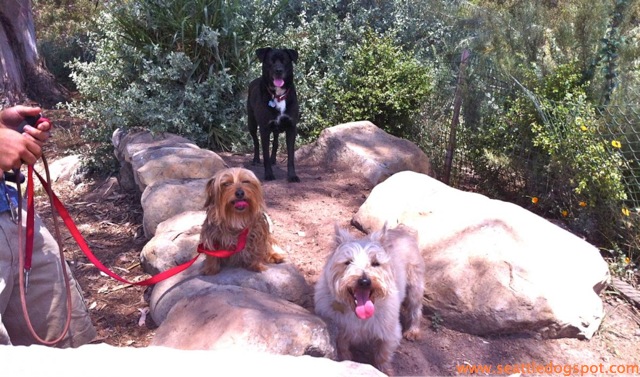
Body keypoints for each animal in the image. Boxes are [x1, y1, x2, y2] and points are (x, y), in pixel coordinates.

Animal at [249, 47, 302, 182]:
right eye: (271, 61)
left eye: (285, 61)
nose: (279, 70)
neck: (278, 96)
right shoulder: (264, 128)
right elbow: (265, 154)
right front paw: (268, 174)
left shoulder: (291, 127)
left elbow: (290, 156)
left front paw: (292, 176)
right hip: (251, 123)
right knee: (256, 142)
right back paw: (256, 159)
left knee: (276, 141)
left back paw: (273, 159)